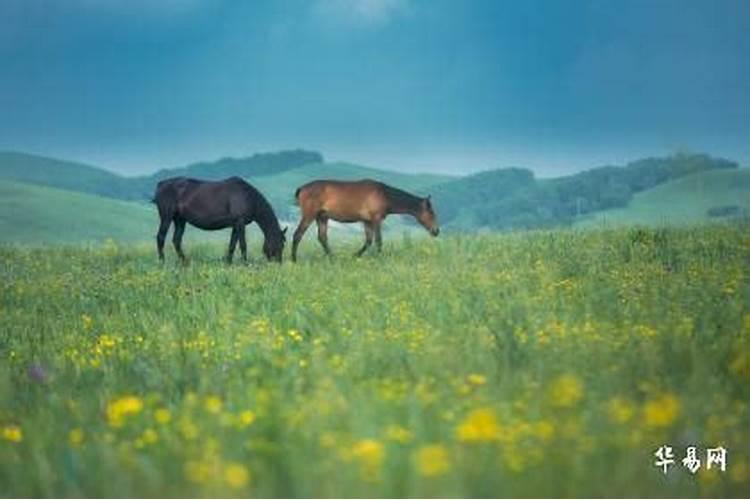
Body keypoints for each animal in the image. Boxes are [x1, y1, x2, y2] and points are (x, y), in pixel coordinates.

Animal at [153, 177, 288, 264]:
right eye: (280, 244)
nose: (278, 263)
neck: (248, 196)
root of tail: (161, 184)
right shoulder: (240, 223)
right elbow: (243, 245)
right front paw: (245, 263)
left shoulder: (236, 225)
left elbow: (232, 245)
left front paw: (228, 262)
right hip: (166, 217)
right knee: (161, 237)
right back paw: (162, 261)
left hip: (180, 220)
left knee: (176, 240)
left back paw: (185, 262)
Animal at [290, 180, 438, 264]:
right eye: (431, 213)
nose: (436, 231)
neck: (384, 194)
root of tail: (302, 188)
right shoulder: (376, 219)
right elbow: (378, 241)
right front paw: (380, 259)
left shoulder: (367, 221)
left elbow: (368, 241)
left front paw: (355, 256)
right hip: (309, 215)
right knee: (297, 235)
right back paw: (294, 260)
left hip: (322, 217)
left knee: (322, 238)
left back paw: (333, 258)